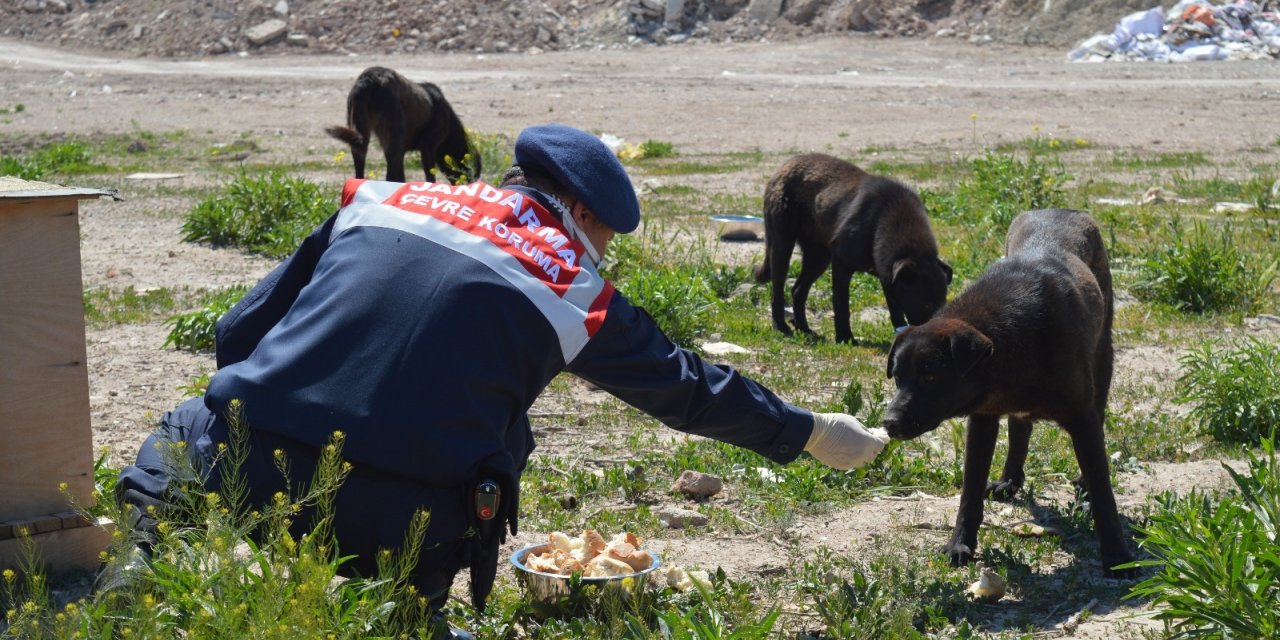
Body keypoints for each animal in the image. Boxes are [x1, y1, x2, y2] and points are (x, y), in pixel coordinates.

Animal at [325, 66, 481, 184]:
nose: (469, 183)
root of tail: (369, 79)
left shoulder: (402, 150)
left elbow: (401, 176)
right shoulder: (428, 148)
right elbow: (429, 177)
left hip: (360, 135)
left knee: (360, 171)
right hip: (393, 135)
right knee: (389, 175)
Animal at [747, 152, 952, 343]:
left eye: (943, 302)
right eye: (926, 304)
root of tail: (784, 166)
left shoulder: (887, 275)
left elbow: (895, 310)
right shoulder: (842, 263)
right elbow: (841, 305)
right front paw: (845, 338)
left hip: (818, 257)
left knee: (798, 290)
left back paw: (804, 329)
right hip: (782, 243)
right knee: (778, 289)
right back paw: (781, 326)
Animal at [885, 207, 1136, 578]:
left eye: (930, 376)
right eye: (898, 377)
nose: (888, 423)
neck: (1007, 343)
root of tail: (1061, 209)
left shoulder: (1082, 420)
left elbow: (1104, 494)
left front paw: (1118, 557)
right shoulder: (982, 420)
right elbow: (970, 491)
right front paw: (960, 544)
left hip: (1104, 359)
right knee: (1020, 430)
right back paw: (1010, 480)